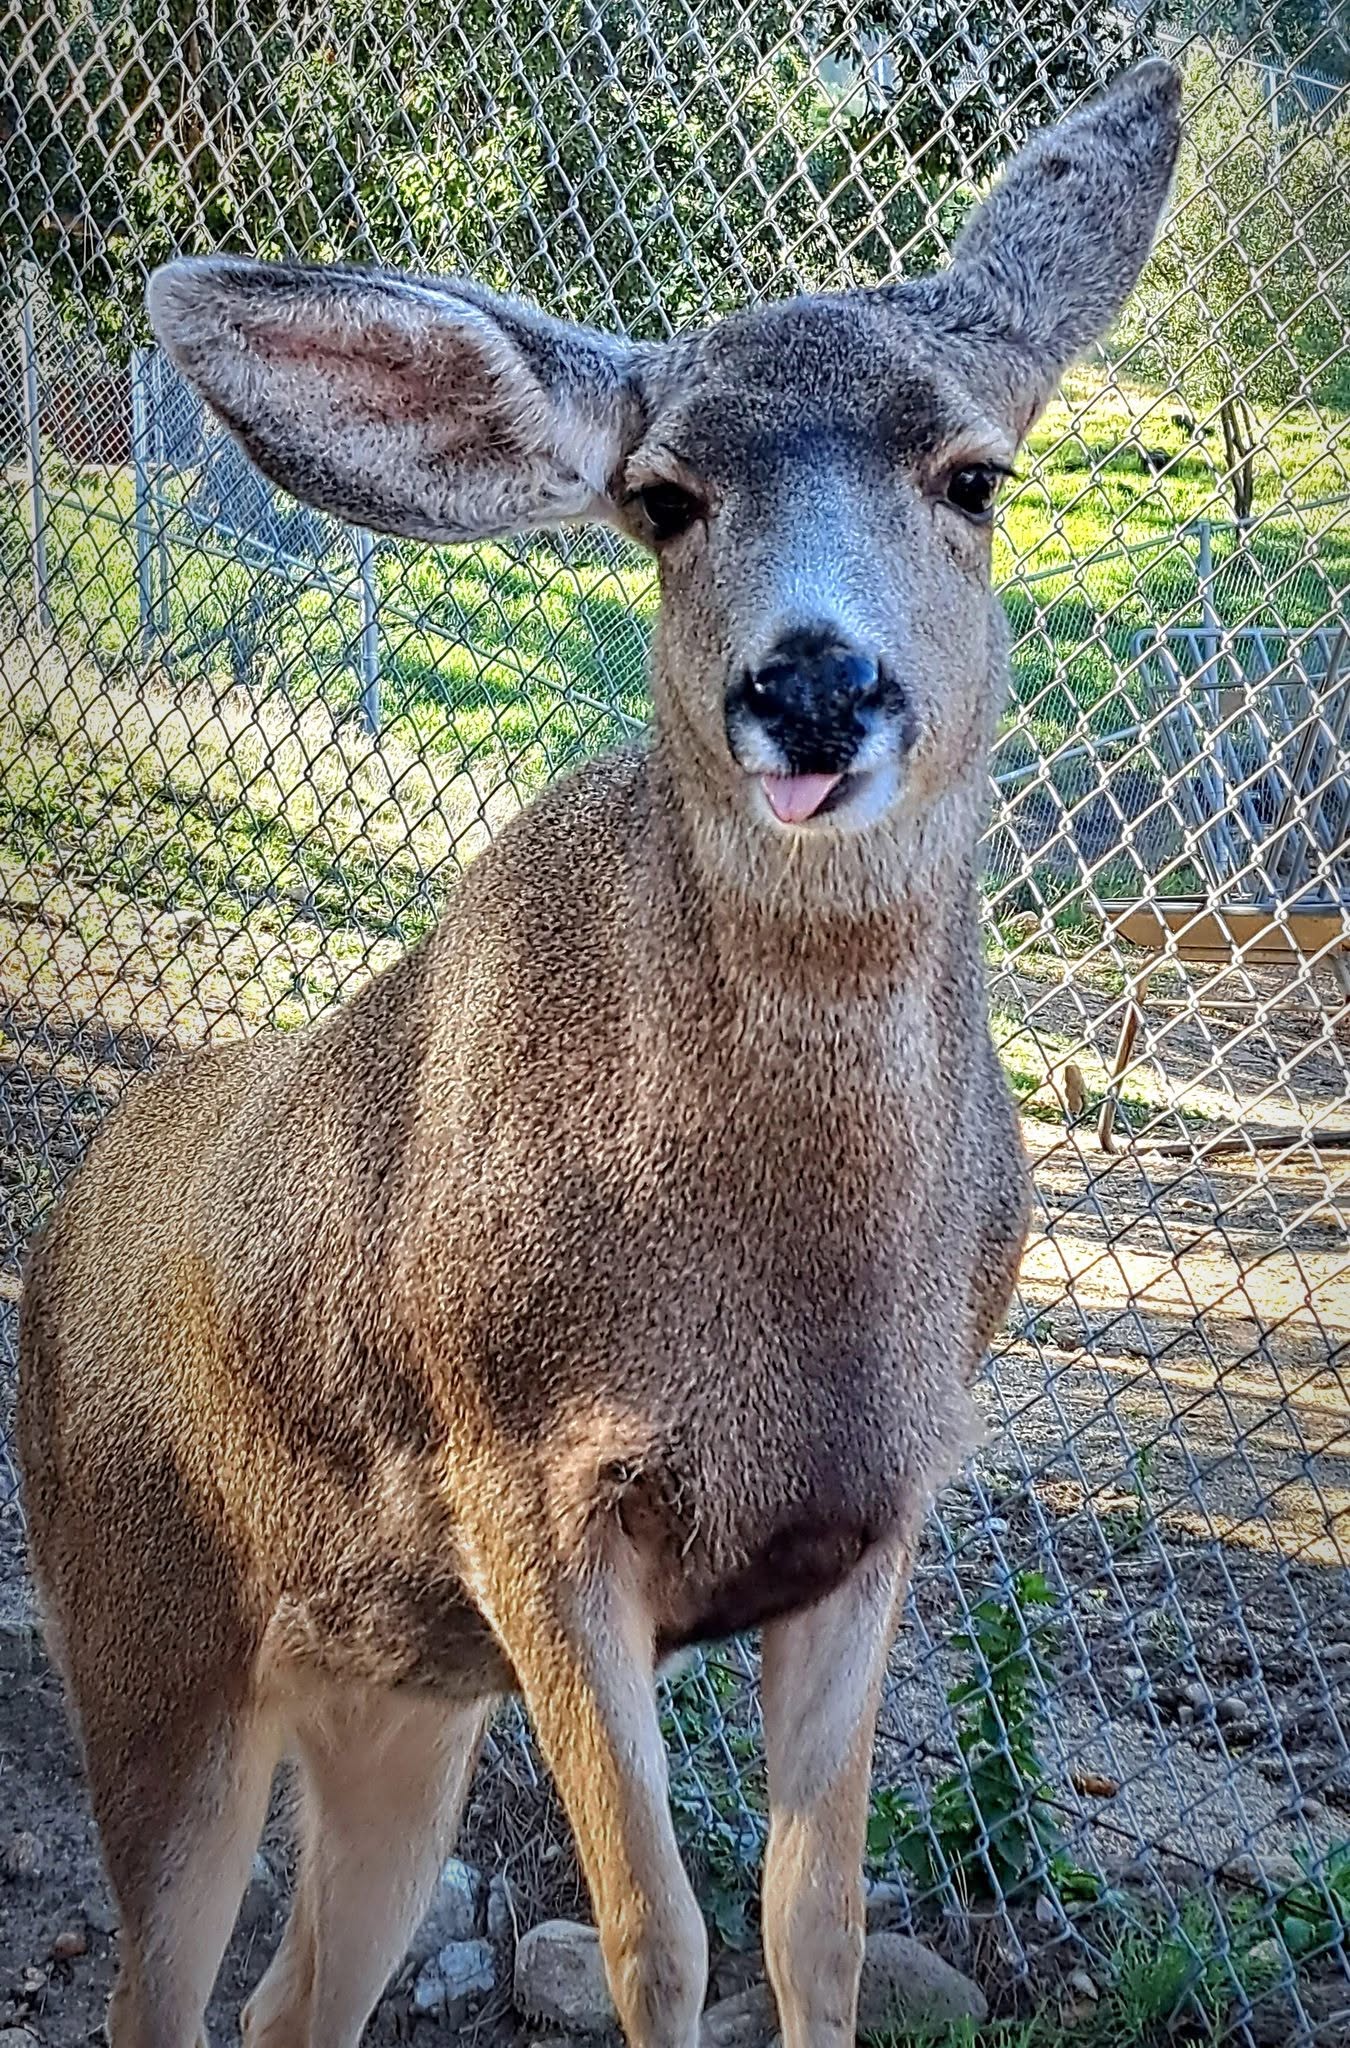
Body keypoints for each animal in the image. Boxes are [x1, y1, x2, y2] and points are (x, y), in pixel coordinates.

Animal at [17, 61, 1180, 2048]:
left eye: (975, 473)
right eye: (661, 496)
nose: (809, 683)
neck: (792, 1289)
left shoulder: (875, 1519)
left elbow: (818, 1920)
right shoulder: (527, 1492)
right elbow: (658, 1932)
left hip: (394, 1700)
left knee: (291, 1998)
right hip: (146, 1639)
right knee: (158, 1990)